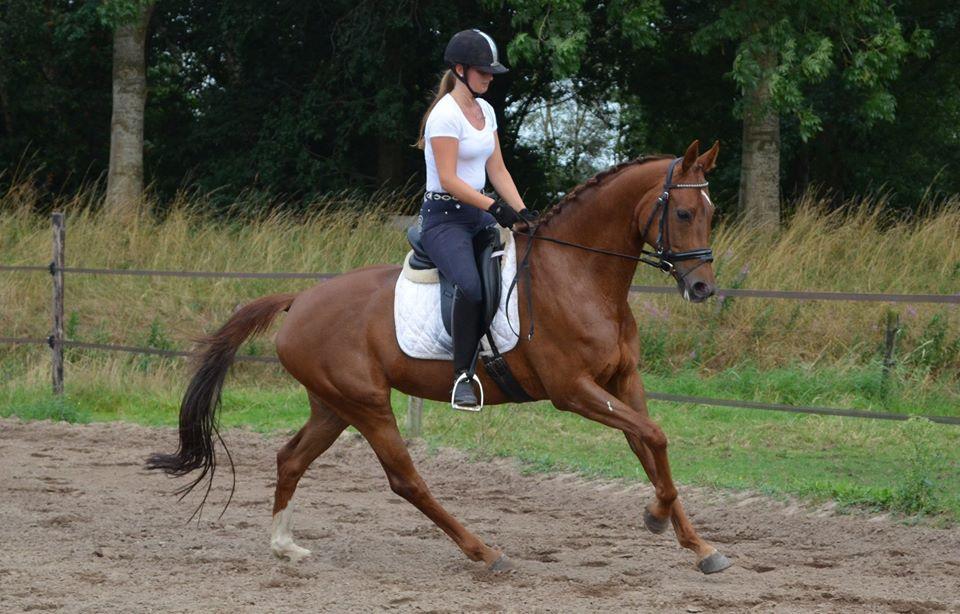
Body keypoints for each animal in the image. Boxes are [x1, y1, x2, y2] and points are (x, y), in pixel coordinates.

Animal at [147, 139, 731, 574]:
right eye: (682, 212)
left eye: (710, 213)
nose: (702, 287)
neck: (580, 275)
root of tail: (300, 300)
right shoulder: (572, 391)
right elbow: (655, 437)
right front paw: (656, 518)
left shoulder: (621, 382)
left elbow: (648, 444)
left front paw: (698, 545)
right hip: (366, 405)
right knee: (405, 480)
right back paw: (484, 552)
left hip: (332, 404)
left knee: (291, 458)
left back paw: (284, 546)